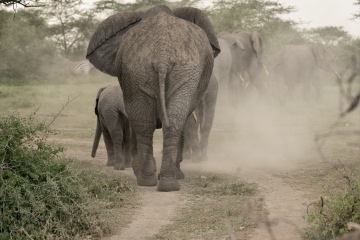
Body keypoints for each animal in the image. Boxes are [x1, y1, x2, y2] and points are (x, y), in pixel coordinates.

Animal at [86, 5, 219, 191]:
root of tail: (162, 56)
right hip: (148, 71)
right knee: (159, 123)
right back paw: (160, 182)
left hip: (165, 71)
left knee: (151, 124)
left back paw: (157, 182)